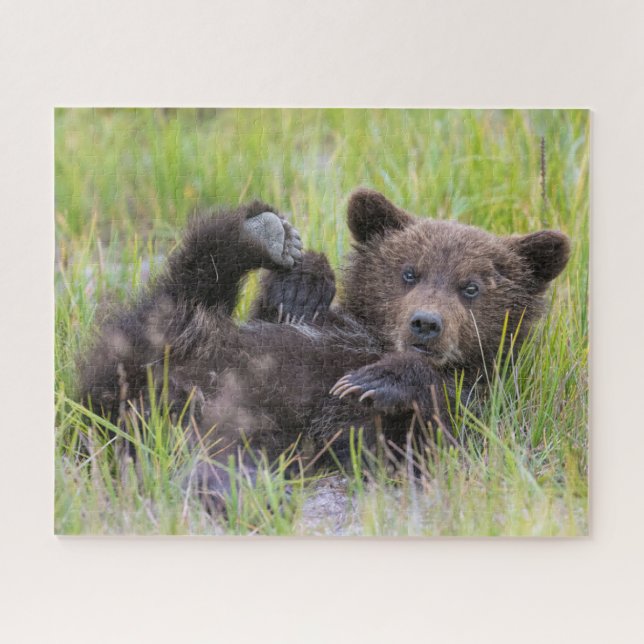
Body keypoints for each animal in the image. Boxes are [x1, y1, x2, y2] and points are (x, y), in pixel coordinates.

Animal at [79, 188, 570, 509]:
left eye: (471, 287)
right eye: (409, 272)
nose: (426, 324)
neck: (373, 338)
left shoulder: (478, 402)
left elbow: (432, 440)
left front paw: (377, 379)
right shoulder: (310, 327)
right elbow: (283, 310)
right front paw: (302, 284)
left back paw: (238, 487)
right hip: (160, 350)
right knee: (178, 295)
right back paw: (258, 233)